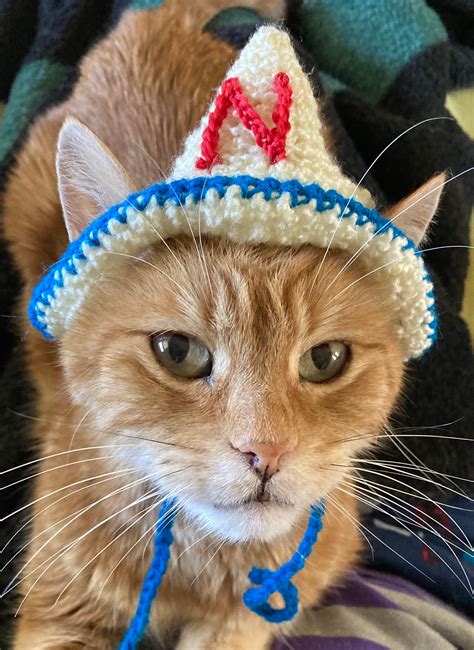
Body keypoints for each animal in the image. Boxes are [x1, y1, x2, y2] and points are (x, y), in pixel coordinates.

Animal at [1, 1, 442, 648]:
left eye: (325, 359)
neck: (199, 566)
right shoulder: (59, 607)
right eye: (176, 351)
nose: (266, 452)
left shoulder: (259, 605)